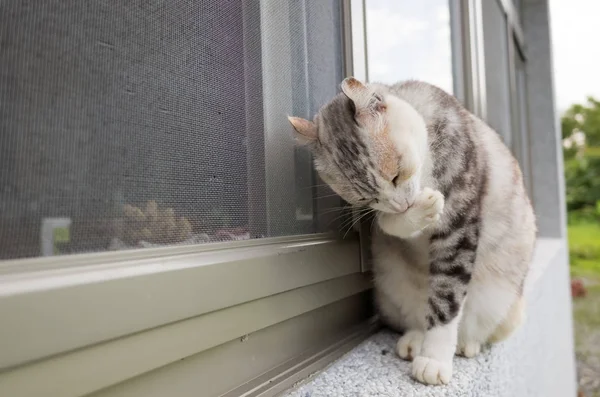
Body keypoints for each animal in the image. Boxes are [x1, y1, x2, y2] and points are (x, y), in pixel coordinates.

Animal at [288, 76, 536, 384]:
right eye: (365, 198)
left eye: (396, 175)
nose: (402, 204)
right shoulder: (388, 217)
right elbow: (389, 223)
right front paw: (422, 208)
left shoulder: (459, 224)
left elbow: (446, 299)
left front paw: (434, 361)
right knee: (418, 316)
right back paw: (414, 342)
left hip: (505, 305)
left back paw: (466, 344)